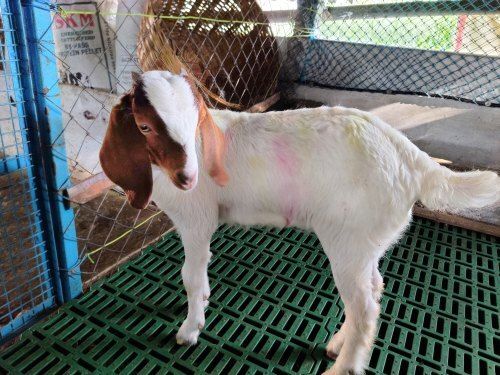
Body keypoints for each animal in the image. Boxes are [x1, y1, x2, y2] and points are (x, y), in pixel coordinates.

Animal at [99, 70, 498, 374]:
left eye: (193, 120)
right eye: (144, 126)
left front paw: (189, 329)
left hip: (347, 238)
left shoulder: (197, 219)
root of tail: (414, 159)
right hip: (365, 240)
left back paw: (343, 368)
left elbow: (190, 275)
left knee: (365, 308)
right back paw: (338, 344)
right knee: (374, 287)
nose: (188, 177)